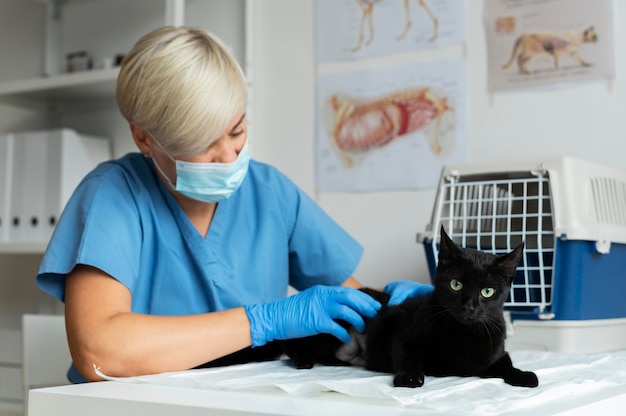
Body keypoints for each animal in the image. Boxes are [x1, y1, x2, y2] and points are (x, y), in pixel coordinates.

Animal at [278, 226, 536, 388]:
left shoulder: (494, 354)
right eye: (456, 284)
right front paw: (410, 376)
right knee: (290, 342)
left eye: (487, 291)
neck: (463, 335)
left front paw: (523, 375)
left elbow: (506, 363)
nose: (469, 306)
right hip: (334, 322)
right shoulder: (406, 335)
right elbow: (408, 354)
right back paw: (304, 359)